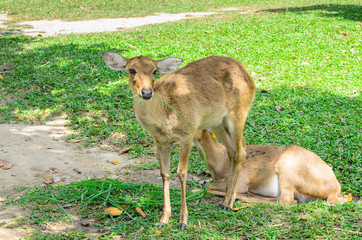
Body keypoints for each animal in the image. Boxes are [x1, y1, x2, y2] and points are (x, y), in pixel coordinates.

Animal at [101, 52, 255, 229]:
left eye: (154, 71)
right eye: (132, 70)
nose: (146, 92)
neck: (164, 116)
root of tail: (247, 74)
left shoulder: (187, 134)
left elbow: (181, 173)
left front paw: (183, 221)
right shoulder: (160, 142)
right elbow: (164, 174)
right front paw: (163, 219)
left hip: (239, 113)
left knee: (241, 150)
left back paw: (230, 203)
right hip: (217, 123)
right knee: (232, 151)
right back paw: (224, 201)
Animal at [195, 130, 340, 203]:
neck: (221, 162)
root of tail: (335, 189)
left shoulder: (241, 181)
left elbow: (208, 186)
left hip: (287, 166)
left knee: (286, 200)